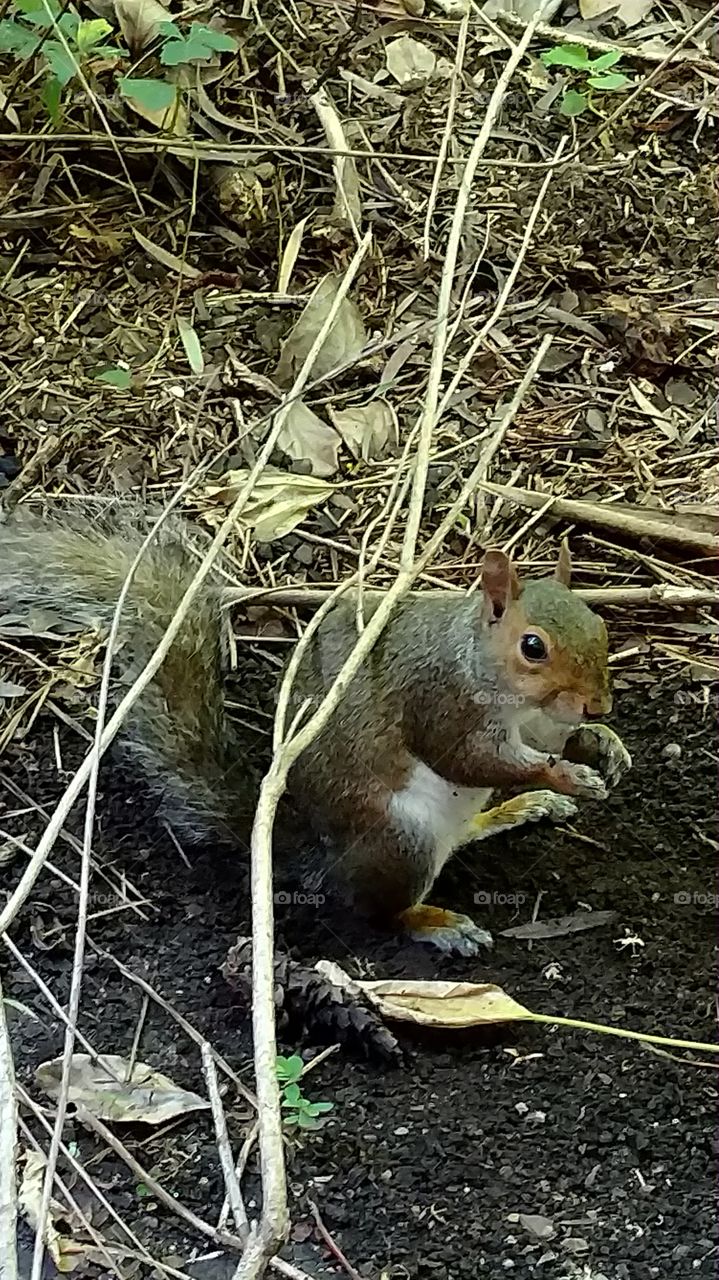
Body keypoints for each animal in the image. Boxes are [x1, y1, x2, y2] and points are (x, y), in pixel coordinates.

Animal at [0, 507, 631, 955]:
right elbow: (469, 759)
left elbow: (551, 743)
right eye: (533, 647)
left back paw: (514, 810)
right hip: (401, 842)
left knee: (462, 835)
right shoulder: (440, 702)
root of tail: (319, 857)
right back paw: (437, 922)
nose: (598, 704)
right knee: (381, 913)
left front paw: (604, 746)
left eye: (600, 623)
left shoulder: (543, 721)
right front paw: (569, 775)